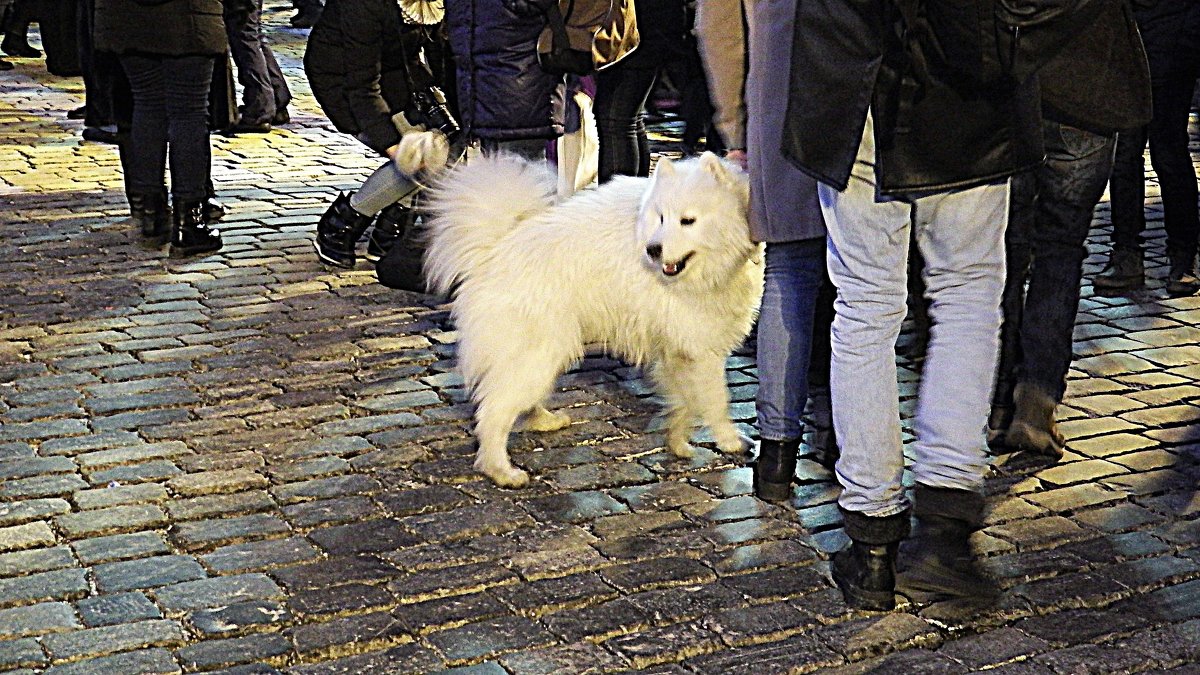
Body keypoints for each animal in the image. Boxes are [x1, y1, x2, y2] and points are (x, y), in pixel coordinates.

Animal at [420, 151, 758, 485]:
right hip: (538, 352)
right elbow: (716, 399)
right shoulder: (700, 347)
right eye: (661, 218)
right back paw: (500, 470)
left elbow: (685, 400)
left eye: (687, 220)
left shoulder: (678, 348)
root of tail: (494, 249)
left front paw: (678, 440)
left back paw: (543, 420)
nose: (652, 250)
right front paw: (731, 441)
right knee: (494, 412)